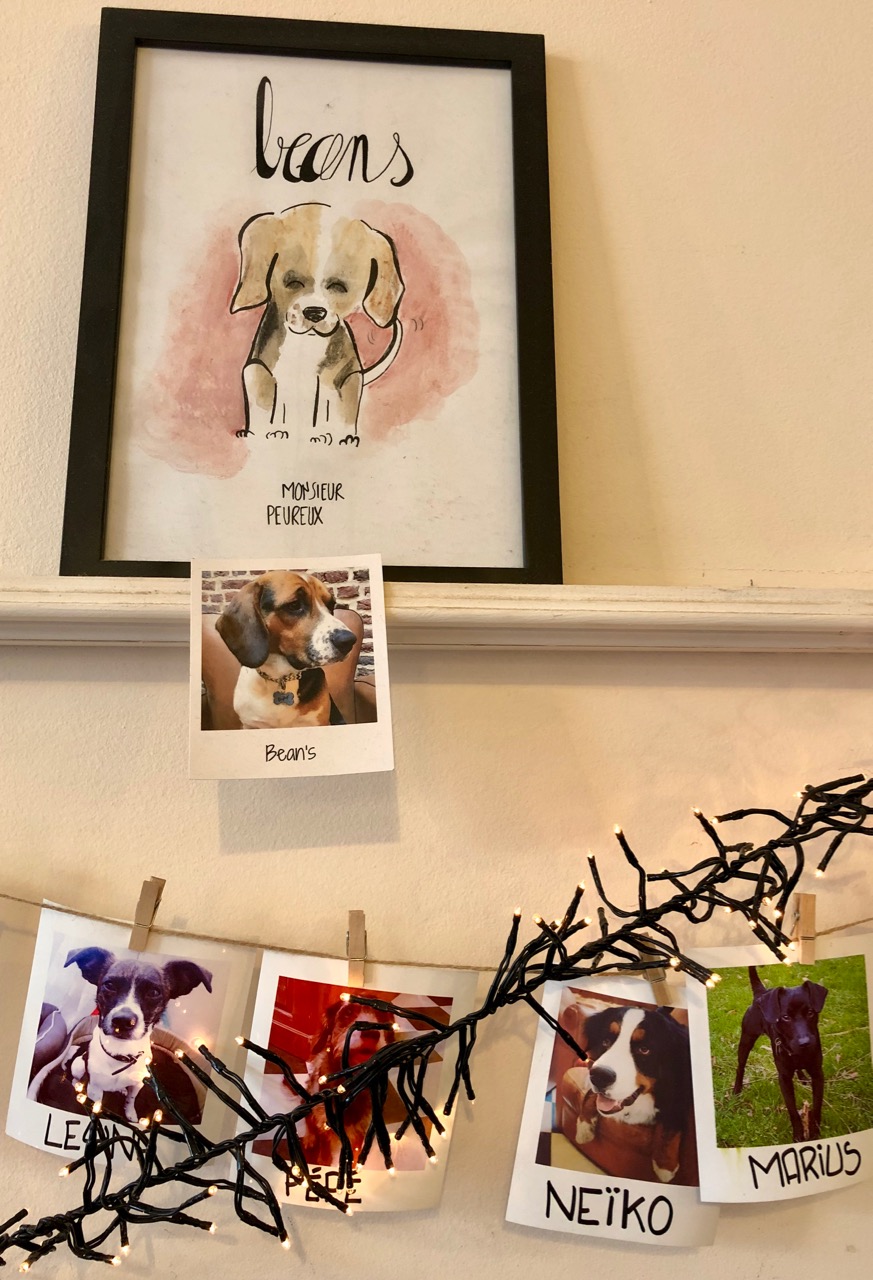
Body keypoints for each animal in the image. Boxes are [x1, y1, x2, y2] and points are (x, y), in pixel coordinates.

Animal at [29, 949, 212, 1123]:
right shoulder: (95, 1088)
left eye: (154, 992)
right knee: (75, 1076)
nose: (123, 1021)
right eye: (109, 985)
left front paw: (130, 1114)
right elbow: (97, 1105)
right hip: (78, 1065)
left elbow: (131, 1100)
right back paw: (77, 1084)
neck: (122, 1053)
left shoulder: (137, 1084)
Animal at [231, 202, 404, 445]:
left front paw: (328, 435)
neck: (306, 343)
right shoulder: (258, 370)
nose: (314, 312)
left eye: (339, 287)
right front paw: (267, 433)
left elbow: (331, 410)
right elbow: (266, 406)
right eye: (292, 282)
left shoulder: (340, 380)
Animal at [296, 999, 396, 1168]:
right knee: (309, 1122)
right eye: (348, 1012)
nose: (371, 1033)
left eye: (382, 1015)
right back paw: (310, 1138)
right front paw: (324, 1162)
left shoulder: (363, 1128)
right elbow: (323, 1142)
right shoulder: (324, 1120)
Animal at [558, 1003, 696, 1184]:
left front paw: (665, 1166)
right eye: (606, 1041)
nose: (600, 1077)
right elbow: (591, 1095)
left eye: (644, 1049)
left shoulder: (680, 1092)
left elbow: (670, 1125)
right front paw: (584, 1127)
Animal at [733, 965, 828, 1142]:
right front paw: (798, 1135)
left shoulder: (818, 1073)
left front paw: (815, 1132)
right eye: (785, 1017)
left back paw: (802, 1077)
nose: (805, 1042)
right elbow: (793, 1111)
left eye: (810, 1012)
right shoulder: (784, 1078)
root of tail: (761, 993)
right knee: (740, 1066)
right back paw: (737, 1090)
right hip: (746, 1039)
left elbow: (817, 1105)